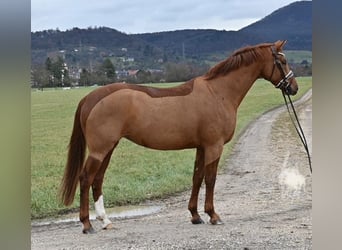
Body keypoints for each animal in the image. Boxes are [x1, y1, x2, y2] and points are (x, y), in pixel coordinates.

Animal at [58, 40, 296, 233]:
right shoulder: (214, 146)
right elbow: (211, 179)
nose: (293, 87)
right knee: (85, 179)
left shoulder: (201, 147)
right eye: (283, 61)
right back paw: (87, 224)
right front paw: (213, 215)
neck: (217, 92)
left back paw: (105, 221)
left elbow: (197, 178)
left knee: (97, 180)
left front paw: (195, 215)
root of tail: (90, 97)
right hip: (100, 150)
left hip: (108, 148)